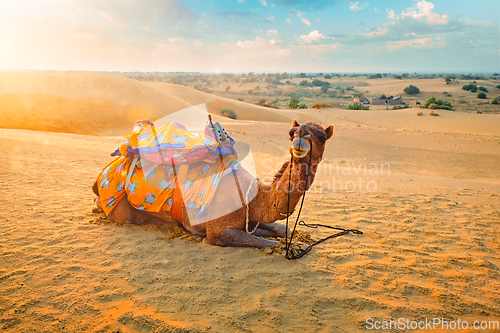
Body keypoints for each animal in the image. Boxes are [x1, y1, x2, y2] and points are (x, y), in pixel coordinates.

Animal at [93, 119, 336, 246]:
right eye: (291, 132)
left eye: (321, 136)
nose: (300, 139)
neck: (253, 196)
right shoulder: (218, 231)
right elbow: (271, 243)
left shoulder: (250, 219)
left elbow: (281, 229)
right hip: (117, 204)